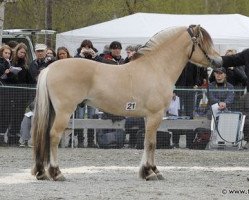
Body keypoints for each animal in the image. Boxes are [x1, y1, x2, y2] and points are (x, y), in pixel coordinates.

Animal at [31, 25, 222, 181]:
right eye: (203, 42)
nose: (219, 62)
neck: (156, 68)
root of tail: (50, 68)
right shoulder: (155, 115)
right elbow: (151, 143)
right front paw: (150, 172)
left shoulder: (148, 117)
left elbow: (147, 142)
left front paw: (149, 171)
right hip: (64, 112)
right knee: (54, 136)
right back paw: (57, 173)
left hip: (54, 111)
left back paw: (42, 172)